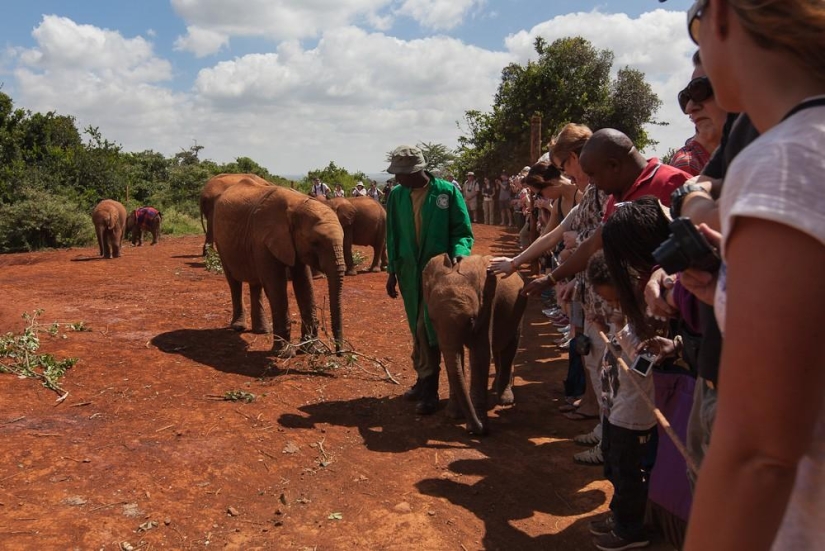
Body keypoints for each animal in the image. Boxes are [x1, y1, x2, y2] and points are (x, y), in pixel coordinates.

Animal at [213, 178, 346, 357]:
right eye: (315, 243)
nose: (339, 353)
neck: (296, 206)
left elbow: (304, 284)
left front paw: (311, 349)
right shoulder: (264, 239)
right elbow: (276, 287)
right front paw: (285, 353)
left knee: (256, 284)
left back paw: (262, 331)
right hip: (221, 242)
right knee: (234, 282)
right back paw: (239, 327)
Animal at [422, 254, 527, 435]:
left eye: (471, 320)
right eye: (432, 320)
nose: (481, 430)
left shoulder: (486, 307)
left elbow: (480, 355)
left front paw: (478, 425)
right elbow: (453, 355)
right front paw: (453, 415)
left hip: (519, 306)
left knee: (509, 347)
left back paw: (505, 399)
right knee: (498, 349)